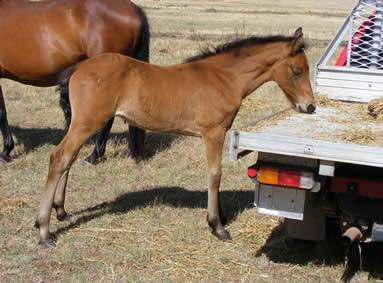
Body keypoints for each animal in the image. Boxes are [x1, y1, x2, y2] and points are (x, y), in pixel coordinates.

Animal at [34, 27, 316, 248]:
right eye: (296, 71)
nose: (310, 106)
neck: (224, 78)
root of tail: (79, 68)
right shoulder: (213, 133)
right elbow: (215, 174)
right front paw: (217, 226)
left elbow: (215, 174)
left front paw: (221, 217)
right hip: (87, 122)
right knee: (59, 157)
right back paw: (44, 231)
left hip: (82, 124)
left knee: (68, 159)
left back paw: (61, 212)